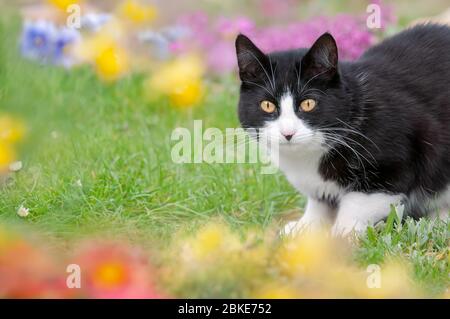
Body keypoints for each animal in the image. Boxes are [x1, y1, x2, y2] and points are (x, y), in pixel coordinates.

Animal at [236, 24, 450, 235]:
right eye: (267, 105)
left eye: (308, 103)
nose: (288, 133)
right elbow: (319, 202)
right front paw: (305, 227)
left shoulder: (394, 163)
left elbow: (359, 203)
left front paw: (342, 235)